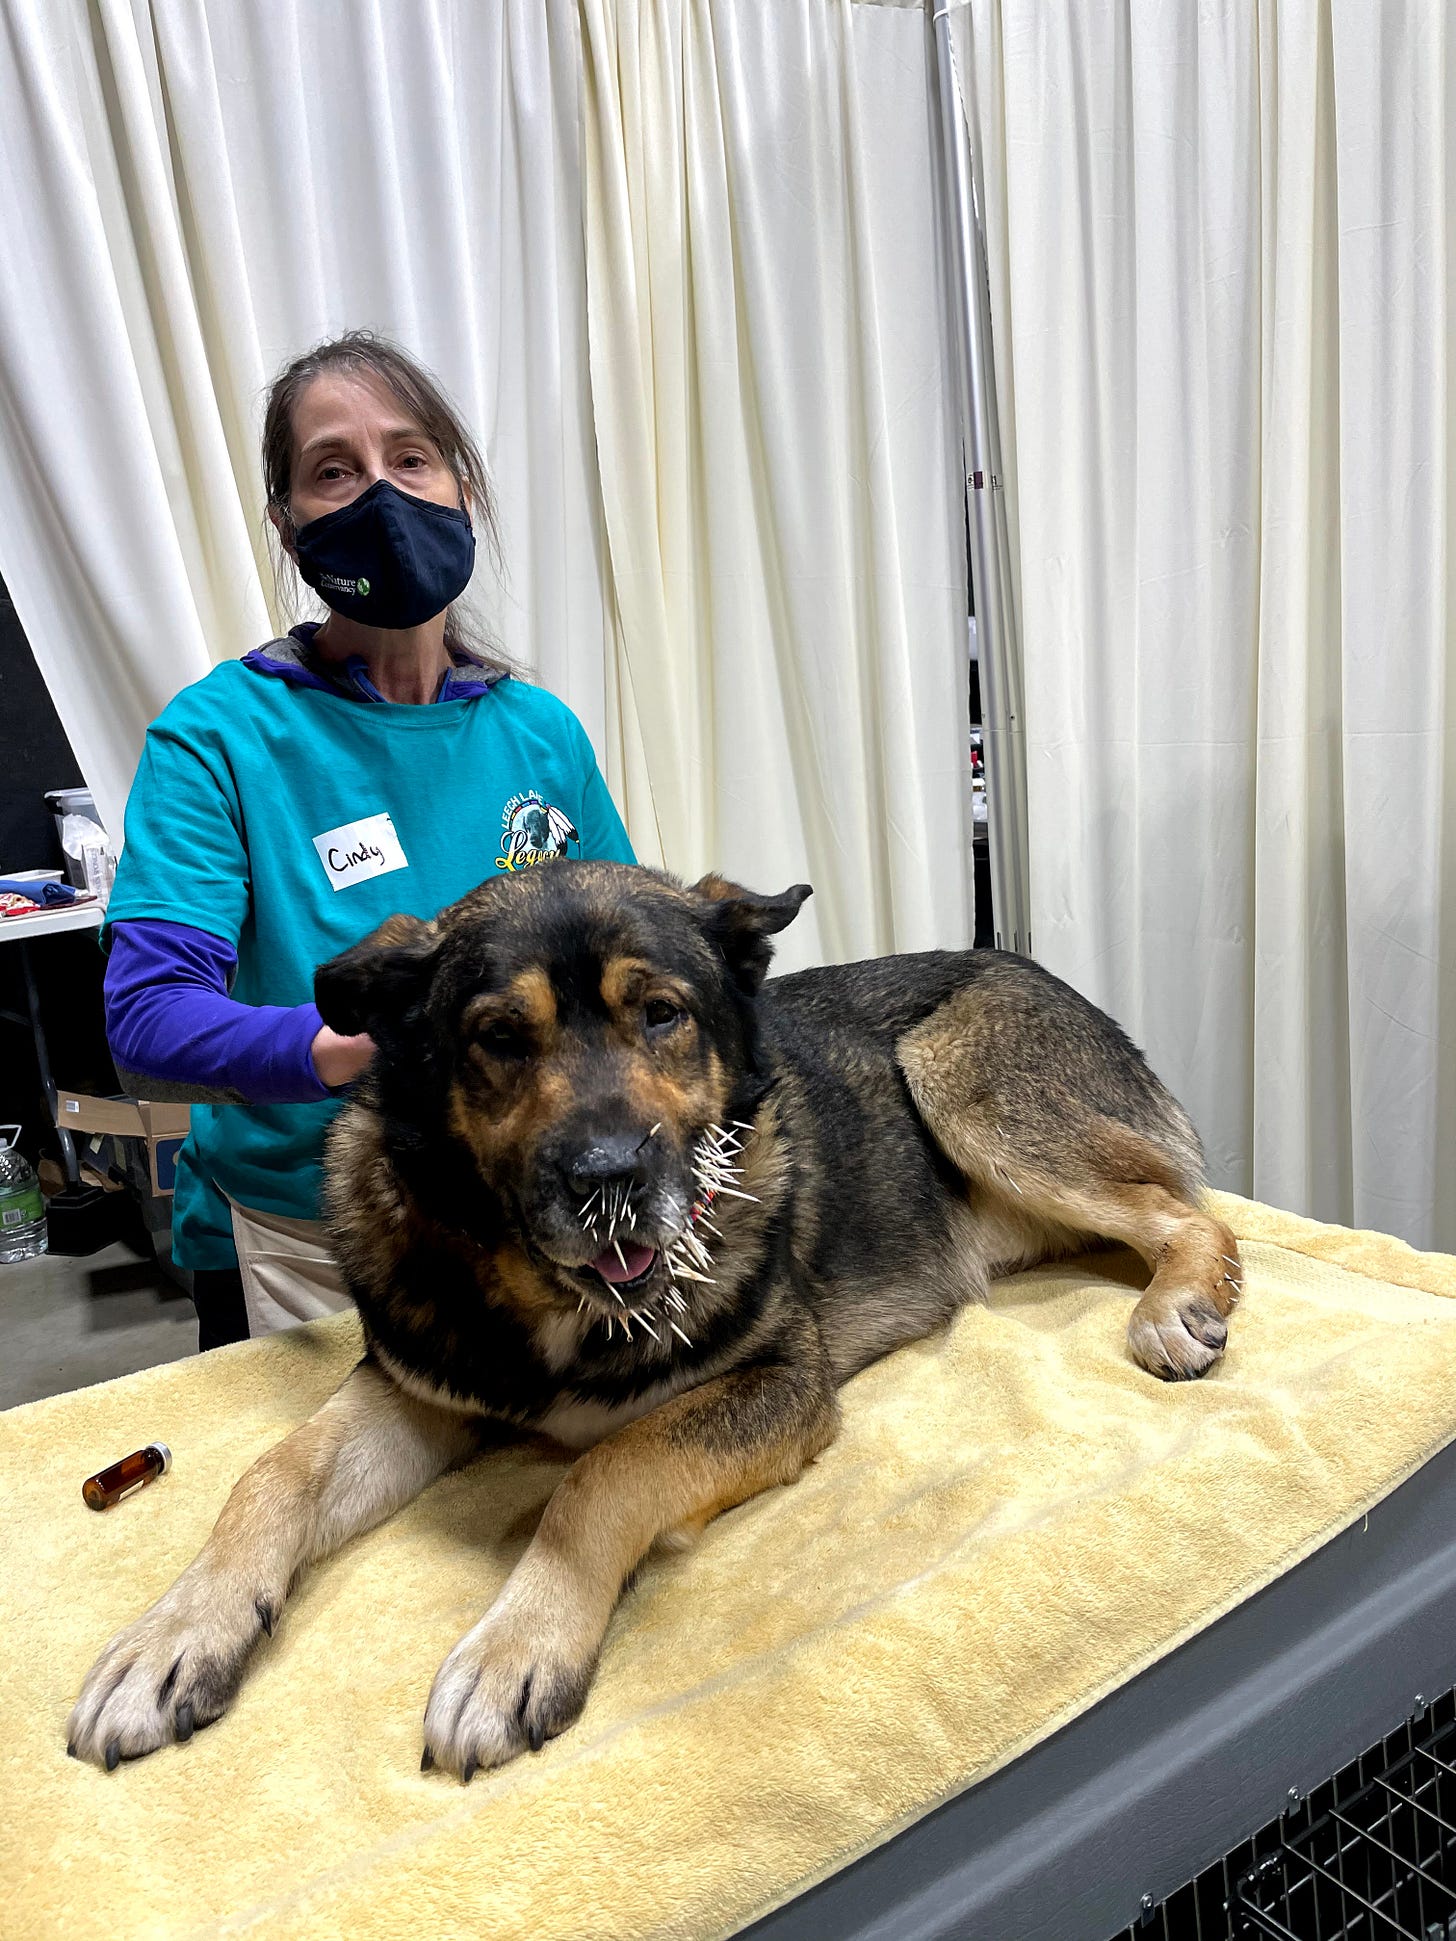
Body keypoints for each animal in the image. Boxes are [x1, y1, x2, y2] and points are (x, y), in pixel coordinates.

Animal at [62, 865, 1234, 1777]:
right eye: (498, 1037)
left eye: (662, 1015)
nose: (609, 1180)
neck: (546, 1296)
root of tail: (1030, 967)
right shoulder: (413, 1390)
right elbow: (273, 1474)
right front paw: (174, 1633)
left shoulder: (778, 1387)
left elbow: (601, 1473)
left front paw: (516, 1645)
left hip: (959, 1080)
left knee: (1193, 1214)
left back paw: (1178, 1302)